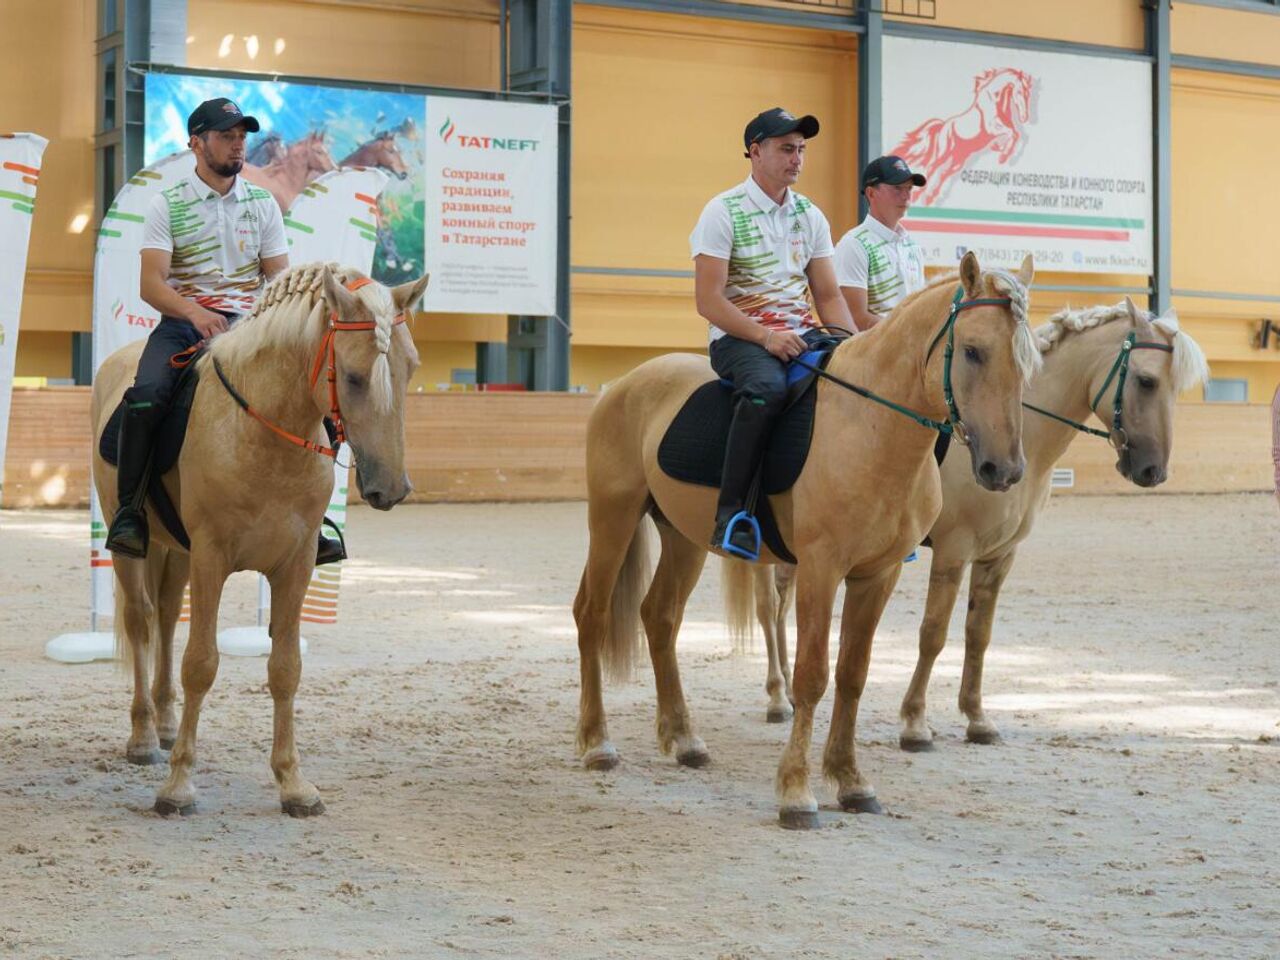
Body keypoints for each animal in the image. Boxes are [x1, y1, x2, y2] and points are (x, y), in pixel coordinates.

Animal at [92, 264, 430, 819]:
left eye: (411, 367)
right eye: (353, 377)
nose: (391, 488)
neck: (264, 431)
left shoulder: (297, 563)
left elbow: (285, 668)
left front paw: (293, 784)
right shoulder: (211, 557)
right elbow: (201, 664)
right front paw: (178, 787)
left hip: (176, 550)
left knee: (166, 616)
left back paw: (165, 725)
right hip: (131, 542)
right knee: (141, 620)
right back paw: (143, 737)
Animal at [576, 253, 1034, 829]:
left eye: (1027, 361)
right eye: (972, 350)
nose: (1003, 470)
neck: (872, 426)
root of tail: (624, 382)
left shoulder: (878, 574)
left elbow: (853, 674)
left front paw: (852, 782)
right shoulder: (821, 568)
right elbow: (811, 676)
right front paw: (796, 793)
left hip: (683, 536)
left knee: (659, 617)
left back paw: (684, 740)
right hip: (612, 517)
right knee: (591, 614)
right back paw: (597, 744)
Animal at [732, 300, 1208, 742]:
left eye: (1175, 389)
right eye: (1146, 381)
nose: (1153, 471)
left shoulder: (1000, 555)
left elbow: (979, 634)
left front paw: (977, 718)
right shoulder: (954, 549)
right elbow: (933, 633)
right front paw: (915, 722)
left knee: (782, 605)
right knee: (768, 606)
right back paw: (777, 696)